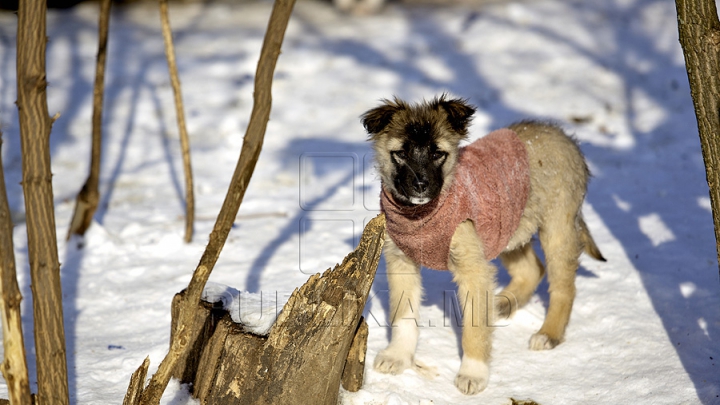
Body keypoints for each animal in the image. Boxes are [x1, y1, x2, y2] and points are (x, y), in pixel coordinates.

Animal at [362, 95, 604, 394]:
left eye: (437, 153)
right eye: (402, 154)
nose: (420, 185)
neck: (422, 215)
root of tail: (564, 136)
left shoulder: (472, 269)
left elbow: (474, 330)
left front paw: (473, 373)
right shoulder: (401, 261)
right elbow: (403, 316)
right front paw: (398, 356)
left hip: (556, 228)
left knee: (563, 287)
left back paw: (548, 334)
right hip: (508, 230)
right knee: (532, 269)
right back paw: (501, 305)